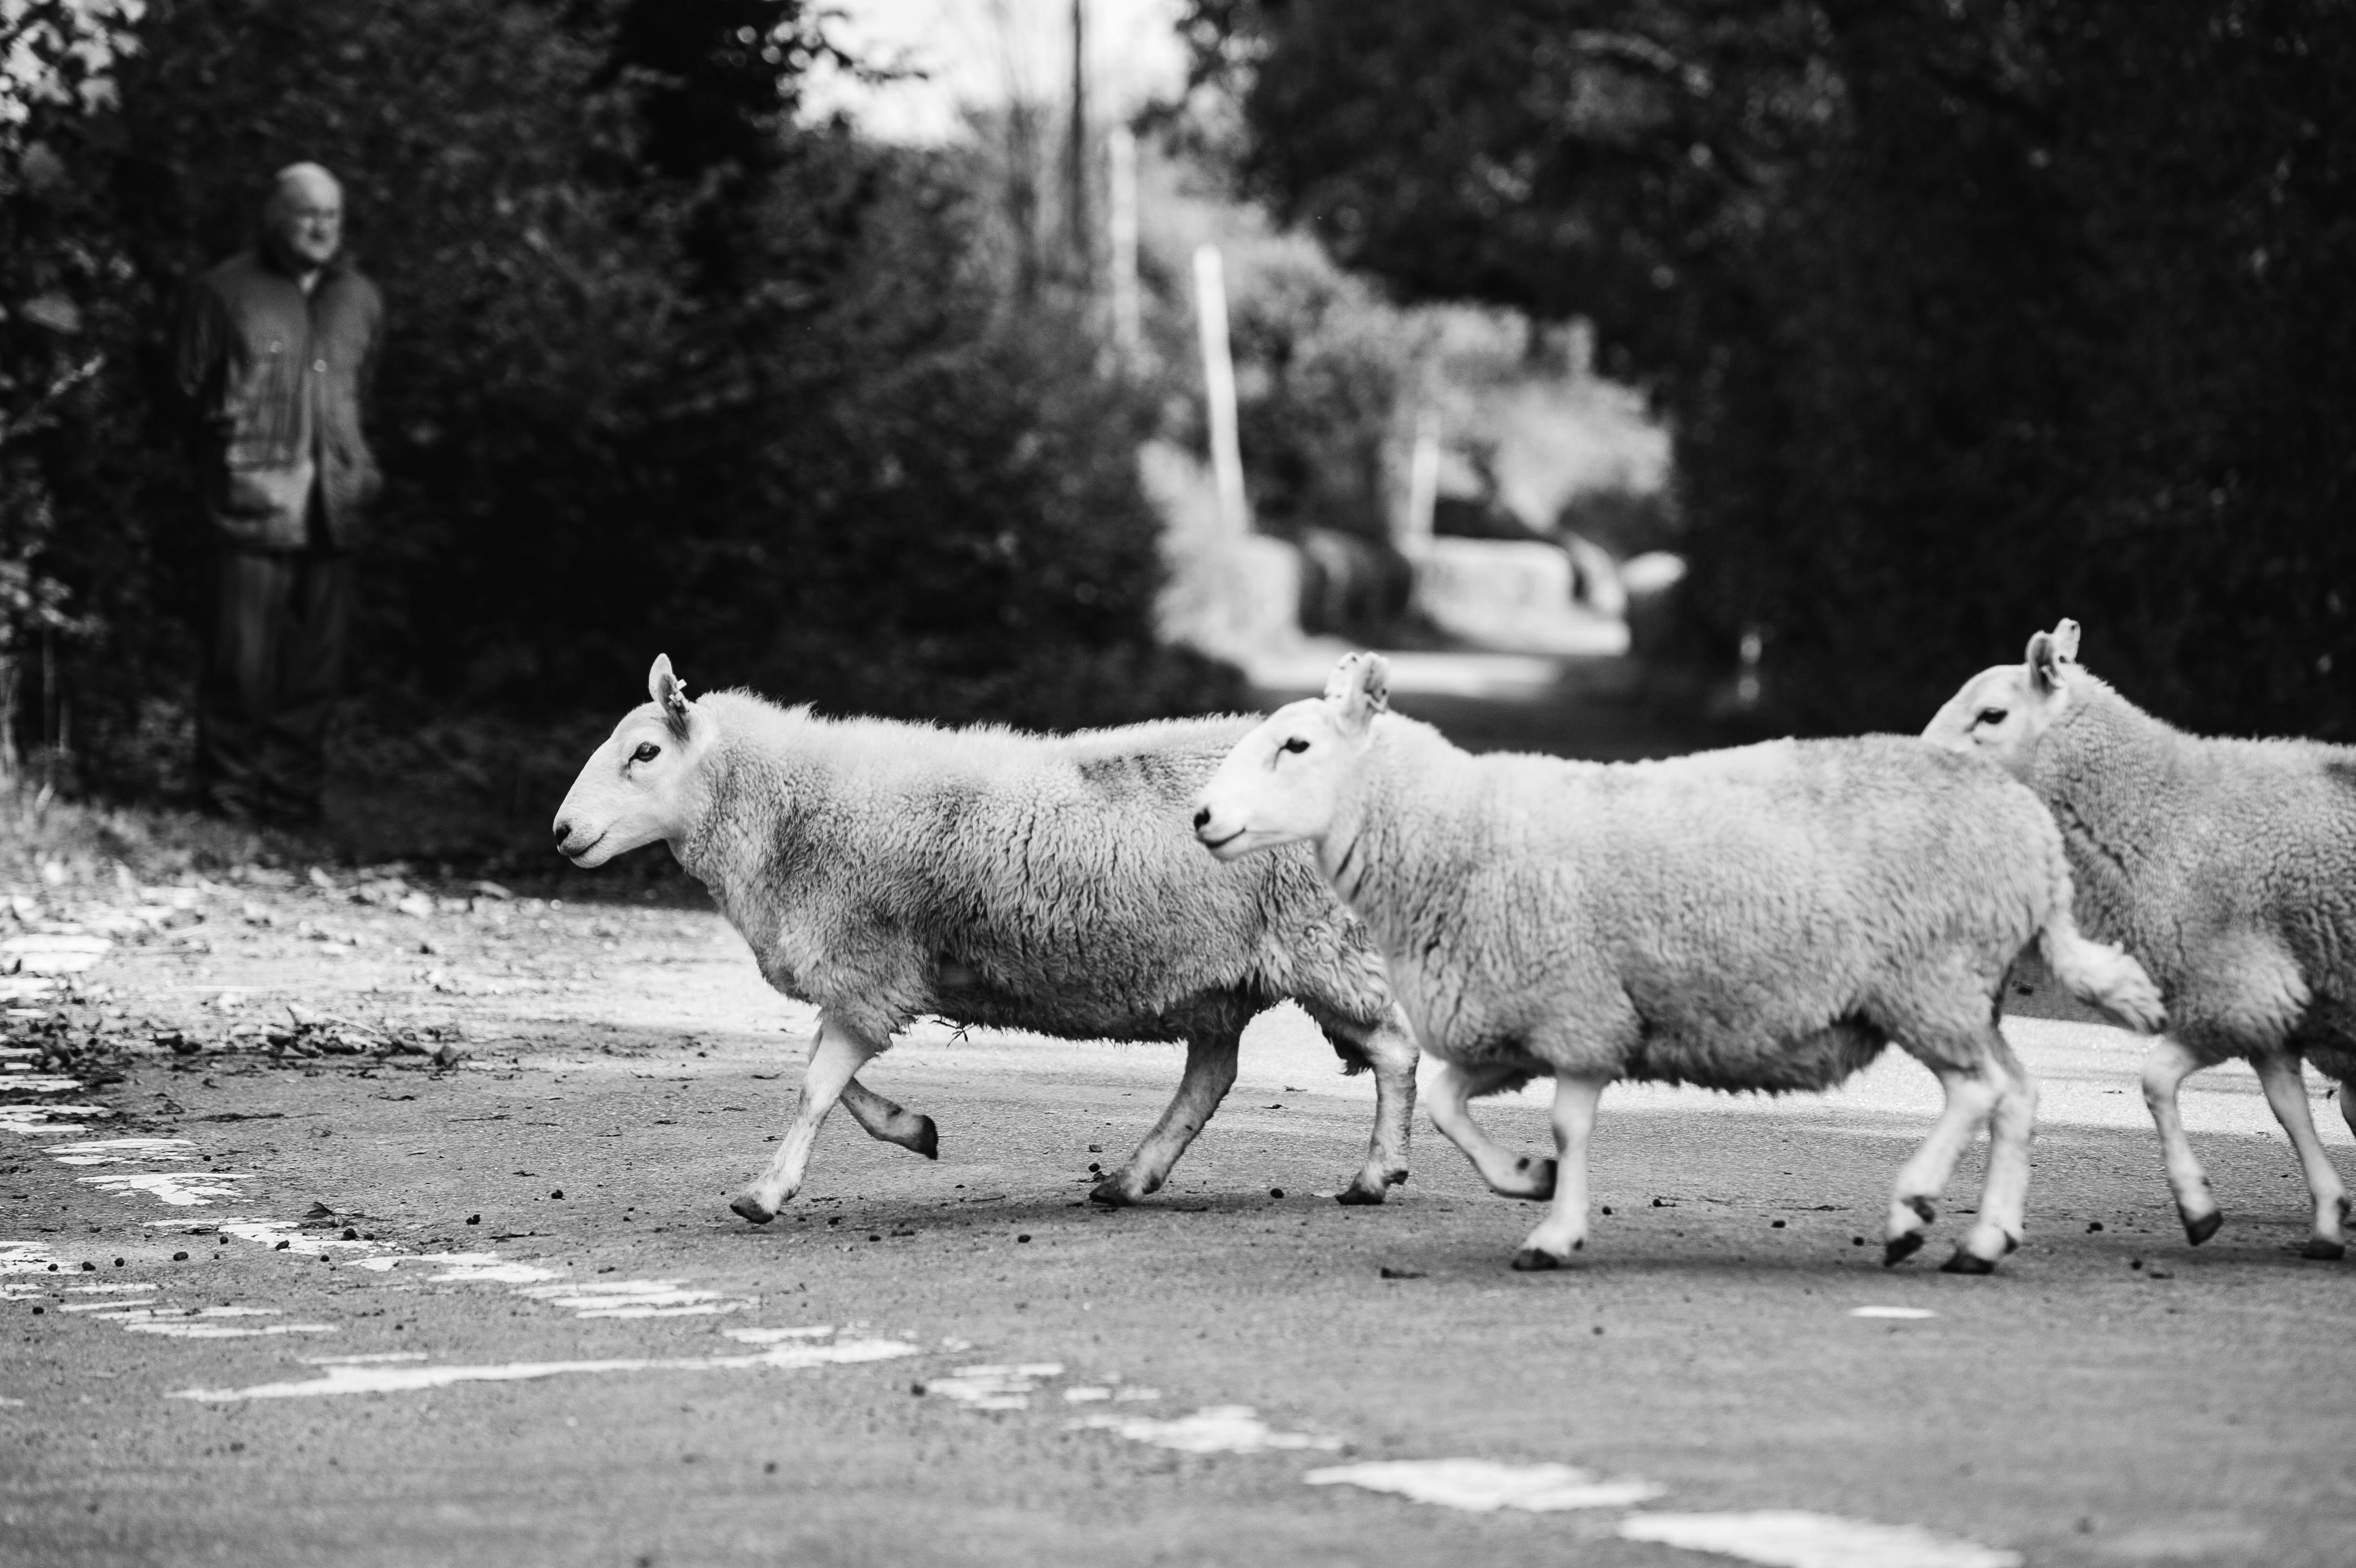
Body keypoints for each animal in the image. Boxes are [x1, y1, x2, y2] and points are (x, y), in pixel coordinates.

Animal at [551, 656, 1421, 1224]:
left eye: (645, 751)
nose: (562, 831)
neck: (787, 810)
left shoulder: (870, 965)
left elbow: (817, 1087)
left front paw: (764, 1194)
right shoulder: (874, 979)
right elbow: (830, 1079)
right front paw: (914, 1129)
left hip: (1324, 942)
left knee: (1394, 1053)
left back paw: (1376, 1172)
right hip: (1218, 972)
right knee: (1211, 1075)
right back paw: (1131, 1177)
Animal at [1192, 652, 2164, 1272]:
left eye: (1297, 746)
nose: (1201, 817)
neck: (1453, 826)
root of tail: (2033, 837)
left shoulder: (1580, 1011)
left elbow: (1567, 1125)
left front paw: (1552, 1230)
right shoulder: (1521, 1023)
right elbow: (1444, 1103)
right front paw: (1526, 1181)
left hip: (1927, 977)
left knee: (1978, 1092)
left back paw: (1912, 1212)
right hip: (1965, 989)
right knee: (2016, 1095)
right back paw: (1985, 1238)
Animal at [1925, 618, 2356, 1257]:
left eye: (1992, 714)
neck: (2159, 812)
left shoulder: (2235, 988)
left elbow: (2155, 1081)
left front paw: (2198, 1206)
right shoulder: (2264, 996)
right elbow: (2289, 1109)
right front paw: (2327, 1215)